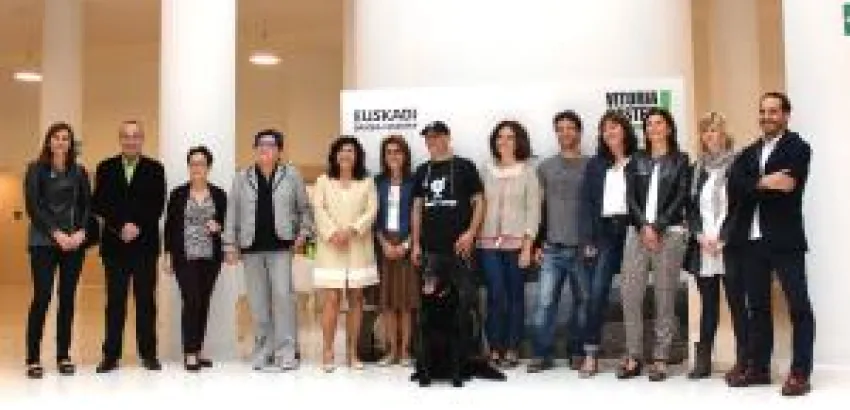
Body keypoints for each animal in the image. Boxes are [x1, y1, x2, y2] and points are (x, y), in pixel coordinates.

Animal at [410, 257, 506, 387]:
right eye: (425, 262)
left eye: (437, 263)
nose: (427, 272)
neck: (438, 300)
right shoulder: (424, 334)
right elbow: (426, 359)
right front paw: (425, 380)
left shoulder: (455, 335)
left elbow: (454, 360)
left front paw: (457, 380)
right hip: (418, 353)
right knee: (421, 363)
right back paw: (417, 375)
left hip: (465, 350)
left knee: (463, 367)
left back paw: (464, 376)